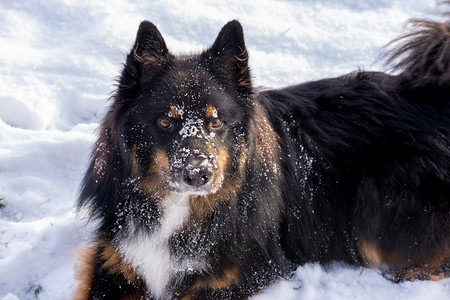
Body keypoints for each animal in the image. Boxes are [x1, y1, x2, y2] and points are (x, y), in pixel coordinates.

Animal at [74, 5, 450, 300]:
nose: (198, 174)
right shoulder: (115, 258)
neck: (181, 207)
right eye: (165, 121)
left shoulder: (245, 269)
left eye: (216, 121)